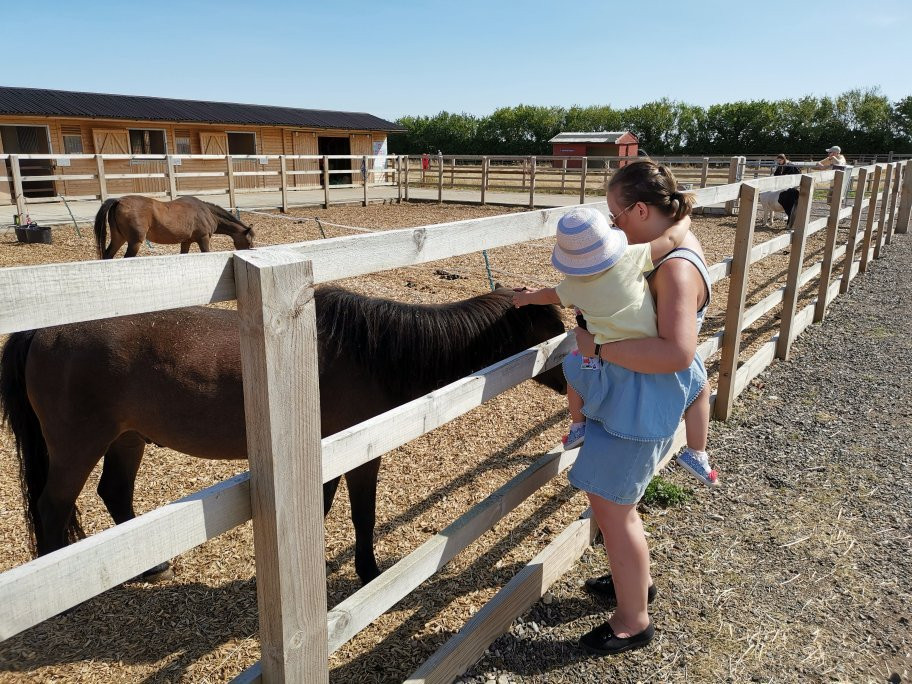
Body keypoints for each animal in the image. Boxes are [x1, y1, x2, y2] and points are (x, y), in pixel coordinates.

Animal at [0, 286, 568, 584]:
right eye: (551, 330)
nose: (572, 372)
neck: (372, 351)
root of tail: (43, 329)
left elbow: (324, 508)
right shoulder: (358, 456)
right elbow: (361, 514)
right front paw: (368, 572)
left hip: (128, 437)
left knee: (114, 493)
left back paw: (152, 567)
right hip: (76, 445)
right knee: (53, 507)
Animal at [93, 195, 255, 260]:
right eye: (248, 241)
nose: (250, 250)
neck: (207, 212)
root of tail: (118, 201)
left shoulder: (186, 242)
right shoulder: (203, 239)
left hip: (118, 239)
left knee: (108, 255)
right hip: (134, 242)